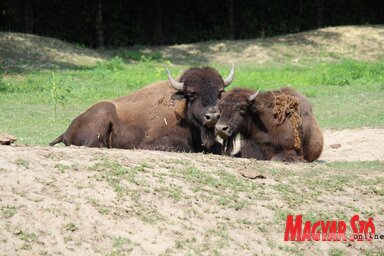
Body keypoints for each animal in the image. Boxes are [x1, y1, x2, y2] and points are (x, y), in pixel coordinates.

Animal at [49, 66, 236, 154]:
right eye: (192, 94)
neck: (181, 108)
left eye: (220, 92)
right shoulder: (153, 142)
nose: (212, 116)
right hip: (103, 114)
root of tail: (67, 129)